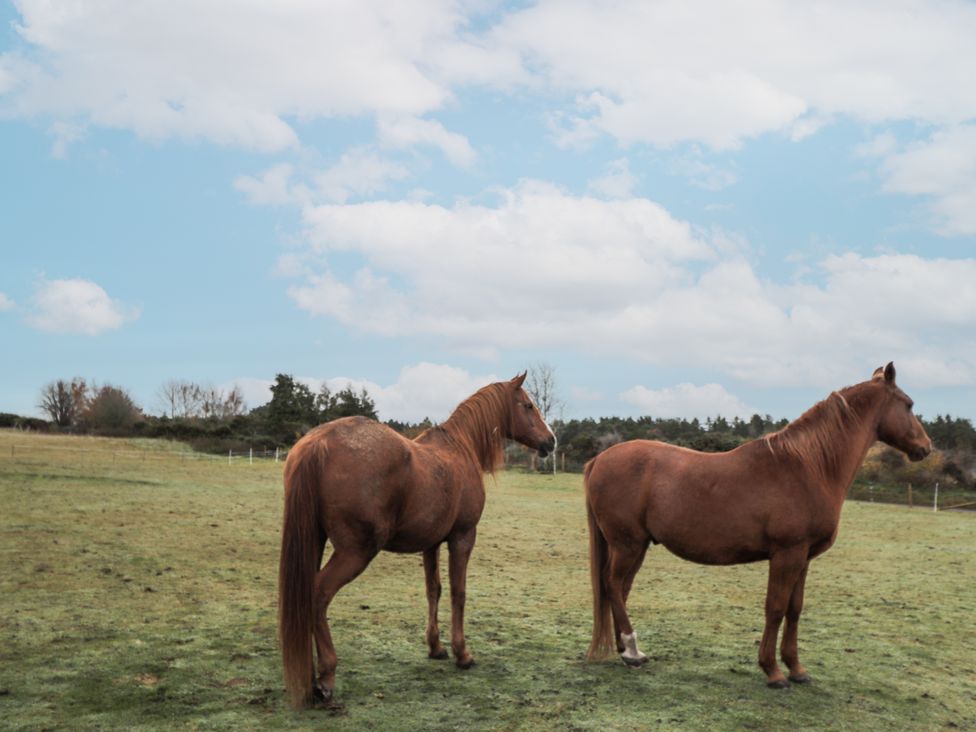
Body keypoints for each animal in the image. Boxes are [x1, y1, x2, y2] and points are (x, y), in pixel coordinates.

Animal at [278, 373, 555, 707]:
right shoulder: (463, 537)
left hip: (315, 542)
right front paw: (463, 653)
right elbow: (458, 592)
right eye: (528, 405)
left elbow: (433, 590)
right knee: (318, 594)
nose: (551, 440)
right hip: (355, 553)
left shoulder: (431, 543)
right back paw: (326, 676)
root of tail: (319, 442)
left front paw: (436, 647)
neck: (460, 449)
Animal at [584, 363, 932, 688]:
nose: (926, 447)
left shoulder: (803, 558)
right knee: (613, 584)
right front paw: (774, 672)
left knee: (621, 589)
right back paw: (631, 650)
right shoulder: (786, 554)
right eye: (909, 404)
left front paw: (797, 669)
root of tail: (600, 459)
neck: (809, 467)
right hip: (627, 544)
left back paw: (627, 652)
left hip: (637, 545)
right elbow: (775, 608)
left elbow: (795, 608)